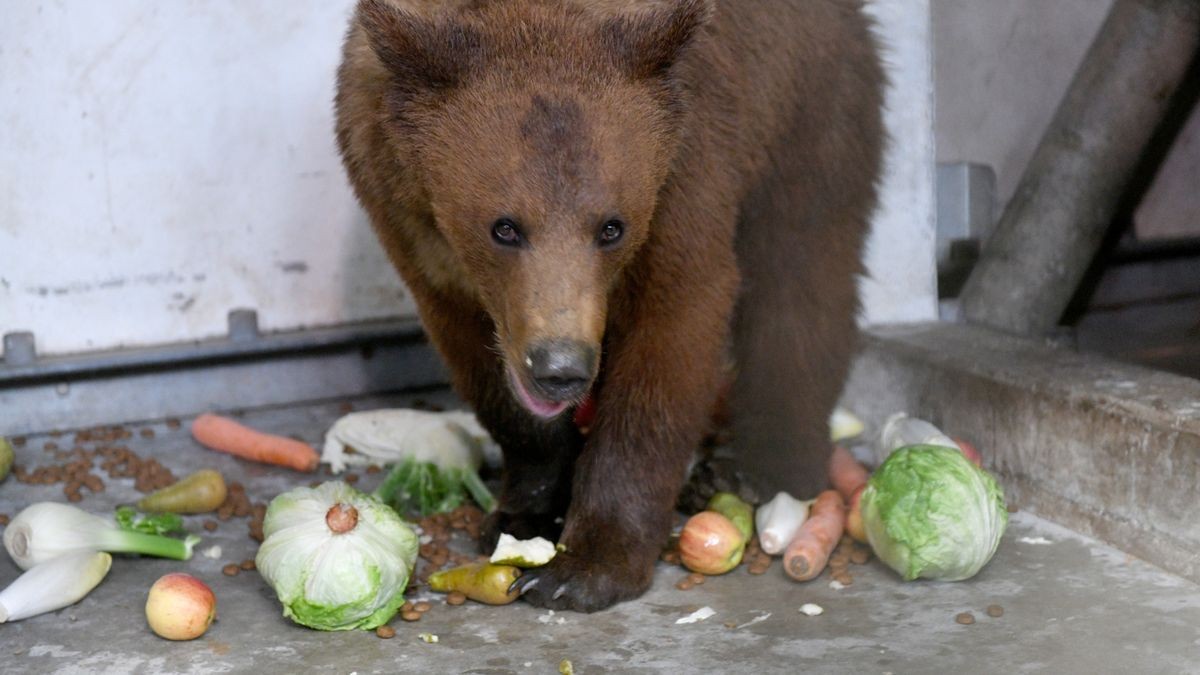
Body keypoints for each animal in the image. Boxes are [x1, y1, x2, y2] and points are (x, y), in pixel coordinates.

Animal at [336, 0, 883, 610]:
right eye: (504, 227)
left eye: (611, 227)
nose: (560, 368)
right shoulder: (403, 210)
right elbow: (485, 371)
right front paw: (526, 512)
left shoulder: (683, 170)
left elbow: (669, 345)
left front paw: (584, 566)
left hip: (808, 111)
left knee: (802, 283)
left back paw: (759, 468)